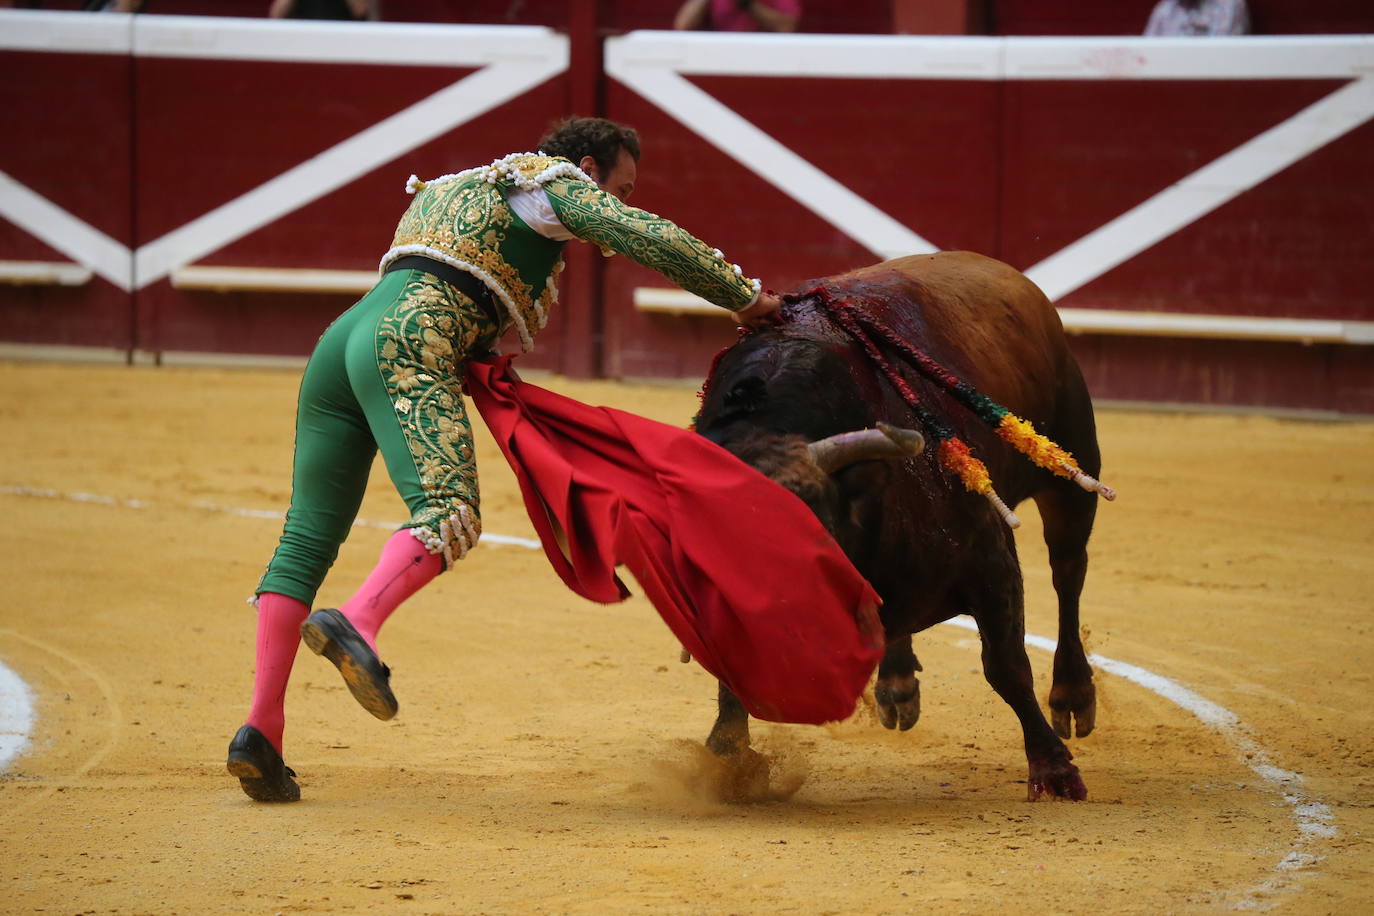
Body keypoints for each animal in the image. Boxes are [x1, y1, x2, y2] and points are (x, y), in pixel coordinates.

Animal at [697, 251, 1104, 802]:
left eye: (812, 528)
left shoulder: (992, 563)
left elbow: (1006, 667)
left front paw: (1055, 771)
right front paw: (729, 760)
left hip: (1071, 472)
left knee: (1068, 573)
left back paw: (1072, 695)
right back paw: (896, 683)